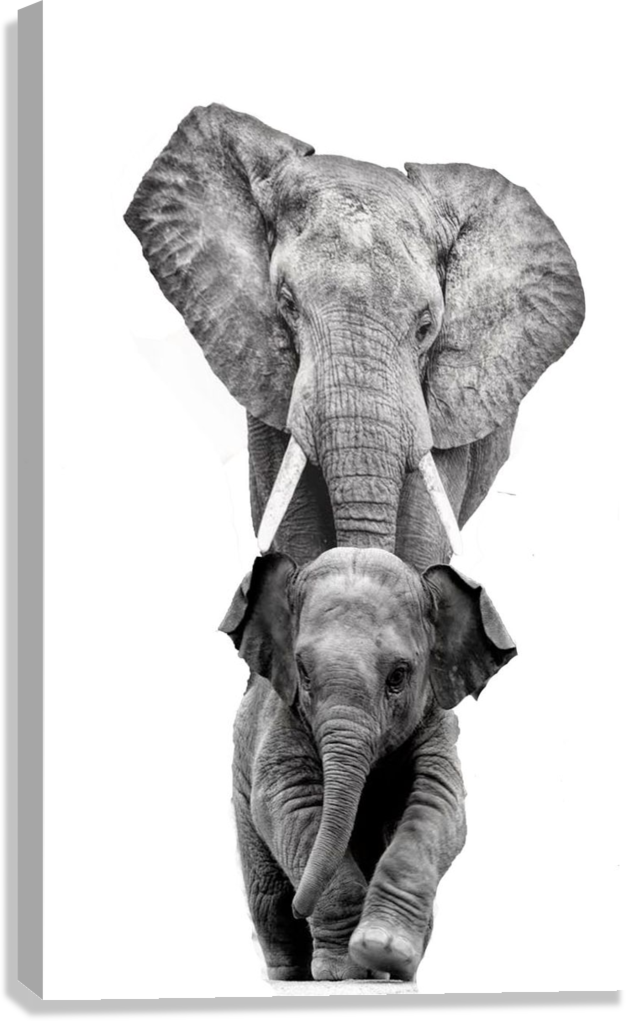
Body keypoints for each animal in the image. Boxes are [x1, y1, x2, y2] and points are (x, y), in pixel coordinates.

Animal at [220, 546, 516, 981]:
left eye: (398, 676)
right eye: (303, 672)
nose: (300, 907)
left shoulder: (436, 723)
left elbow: (436, 806)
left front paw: (383, 949)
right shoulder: (282, 719)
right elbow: (292, 805)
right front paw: (347, 972)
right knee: (269, 902)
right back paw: (294, 974)